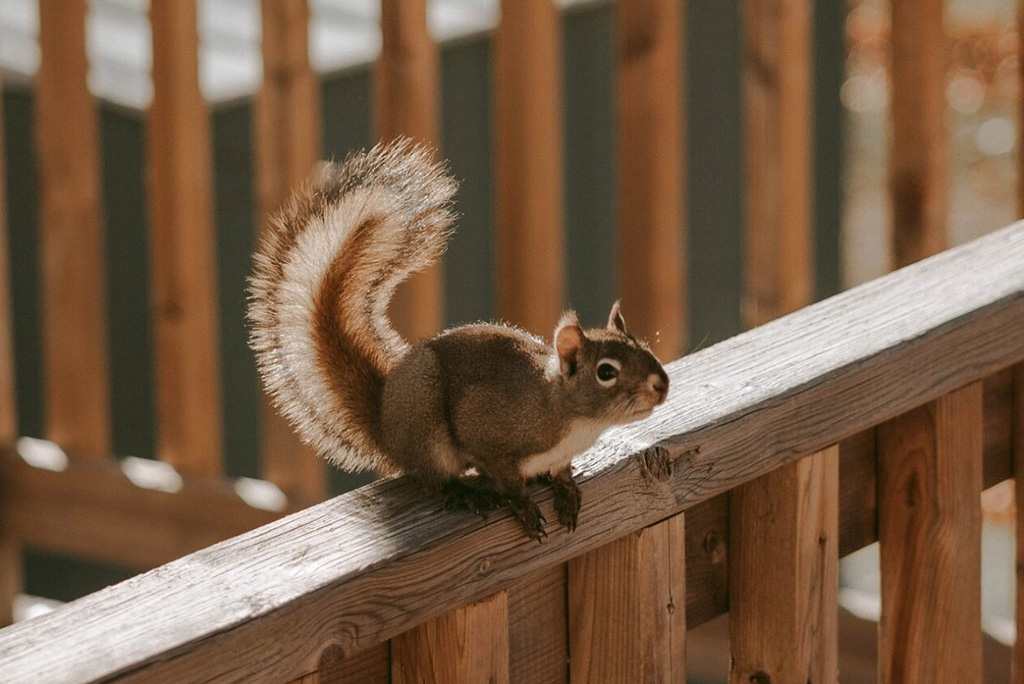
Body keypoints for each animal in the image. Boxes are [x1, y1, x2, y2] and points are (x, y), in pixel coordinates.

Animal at [247, 140, 669, 540]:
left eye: (644, 348)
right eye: (606, 372)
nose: (661, 384)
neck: (568, 417)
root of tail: (386, 426)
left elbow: (560, 471)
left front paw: (565, 489)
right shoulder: (487, 427)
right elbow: (504, 475)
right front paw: (523, 504)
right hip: (425, 423)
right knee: (432, 478)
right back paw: (464, 492)